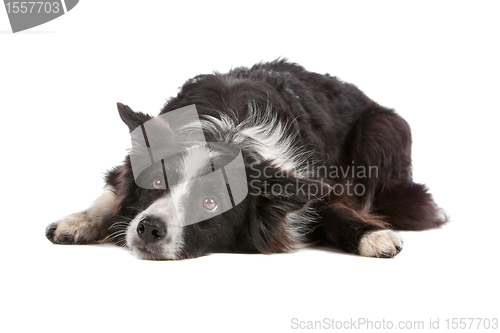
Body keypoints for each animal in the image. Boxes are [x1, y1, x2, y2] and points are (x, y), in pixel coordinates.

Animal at [46, 59, 446, 260]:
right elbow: (111, 194)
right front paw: (80, 220)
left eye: (210, 203)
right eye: (158, 182)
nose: (148, 228)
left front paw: (373, 235)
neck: (226, 133)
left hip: (382, 130)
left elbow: (335, 210)